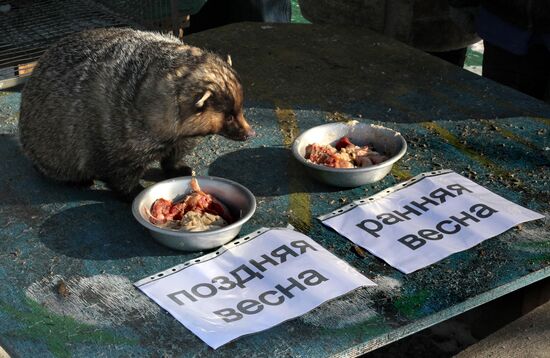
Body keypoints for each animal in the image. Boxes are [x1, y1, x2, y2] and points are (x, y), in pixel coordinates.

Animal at [18, 28, 256, 200]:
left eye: (240, 109)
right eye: (229, 116)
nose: (249, 133)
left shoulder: (180, 136)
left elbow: (177, 151)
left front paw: (180, 168)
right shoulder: (114, 134)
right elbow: (117, 170)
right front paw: (134, 191)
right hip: (49, 146)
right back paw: (78, 180)